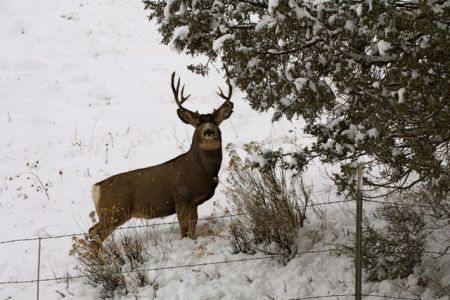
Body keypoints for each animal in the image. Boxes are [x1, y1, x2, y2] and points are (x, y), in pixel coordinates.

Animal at [89, 72, 234, 244]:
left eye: (216, 121)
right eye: (198, 123)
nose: (209, 132)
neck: (200, 171)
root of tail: (96, 187)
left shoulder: (194, 203)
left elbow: (192, 230)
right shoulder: (180, 199)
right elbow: (184, 230)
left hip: (109, 213)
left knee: (92, 231)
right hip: (115, 211)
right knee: (97, 235)